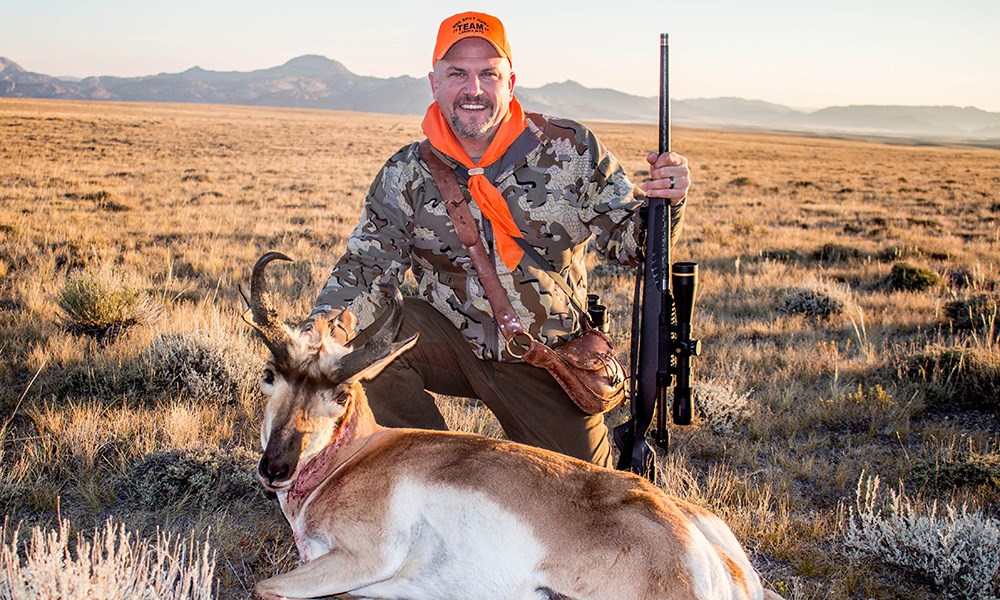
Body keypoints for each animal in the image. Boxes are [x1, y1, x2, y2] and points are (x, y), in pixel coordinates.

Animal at [242, 251, 780, 596]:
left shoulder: (362, 559)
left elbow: (264, 587)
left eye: (341, 394)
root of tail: (711, 554)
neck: (355, 457)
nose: (275, 468)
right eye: (270, 375)